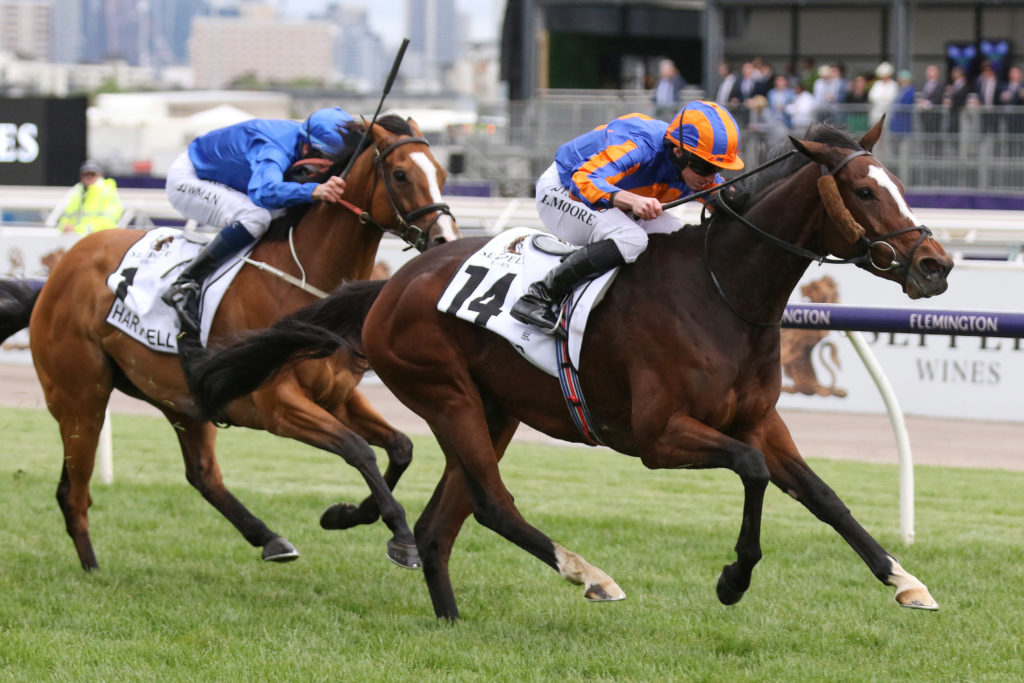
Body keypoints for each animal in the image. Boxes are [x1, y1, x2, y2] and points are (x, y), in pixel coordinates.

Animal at [0, 113, 458, 572]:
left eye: (441, 173)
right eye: (400, 174)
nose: (444, 240)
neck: (305, 281)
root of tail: (57, 275)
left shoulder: (338, 395)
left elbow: (401, 447)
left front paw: (345, 515)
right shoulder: (278, 405)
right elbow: (359, 450)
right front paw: (400, 535)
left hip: (180, 397)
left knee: (202, 474)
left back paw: (270, 538)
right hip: (81, 395)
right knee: (74, 491)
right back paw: (93, 568)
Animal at [191, 120, 953, 620]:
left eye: (898, 184)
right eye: (863, 191)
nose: (935, 264)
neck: (722, 292)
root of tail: (393, 284)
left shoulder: (759, 419)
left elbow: (824, 496)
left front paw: (906, 581)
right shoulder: (658, 436)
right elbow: (753, 470)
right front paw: (733, 579)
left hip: (492, 409)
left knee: (444, 524)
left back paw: (448, 614)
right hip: (447, 395)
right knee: (493, 504)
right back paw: (589, 575)